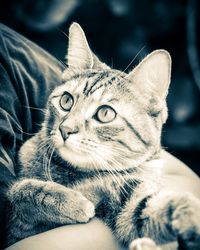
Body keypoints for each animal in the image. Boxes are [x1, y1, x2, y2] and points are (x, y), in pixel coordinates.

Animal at [5, 22, 199, 249]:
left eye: (105, 113)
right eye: (66, 101)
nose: (65, 129)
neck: (80, 174)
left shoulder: (126, 193)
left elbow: (148, 206)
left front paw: (187, 212)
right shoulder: (15, 223)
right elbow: (20, 191)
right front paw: (70, 201)